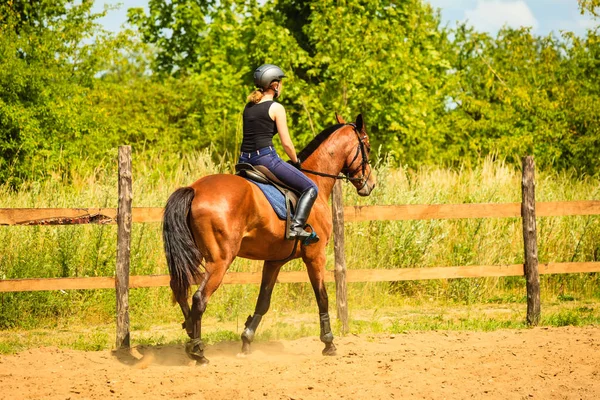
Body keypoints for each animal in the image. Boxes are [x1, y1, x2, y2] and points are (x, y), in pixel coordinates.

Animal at [162, 113, 378, 366]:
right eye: (367, 146)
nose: (370, 184)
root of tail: (194, 189)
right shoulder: (315, 256)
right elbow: (322, 297)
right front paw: (329, 343)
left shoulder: (274, 261)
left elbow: (263, 301)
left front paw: (246, 340)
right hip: (220, 260)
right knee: (199, 298)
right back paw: (198, 351)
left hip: (195, 255)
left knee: (179, 288)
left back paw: (189, 330)